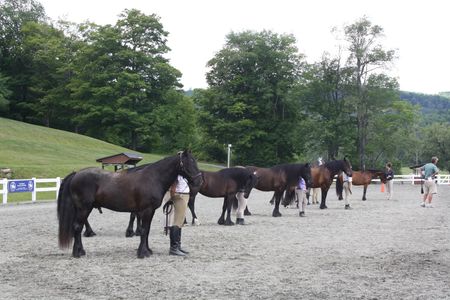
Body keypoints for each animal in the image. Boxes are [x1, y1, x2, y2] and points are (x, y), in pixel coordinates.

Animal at [57, 150, 201, 258]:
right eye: (189, 162)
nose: (198, 181)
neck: (153, 178)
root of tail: (76, 174)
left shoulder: (150, 211)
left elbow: (146, 230)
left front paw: (147, 250)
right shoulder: (146, 210)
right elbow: (144, 230)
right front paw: (142, 253)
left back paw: (80, 250)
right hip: (84, 208)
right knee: (77, 227)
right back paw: (78, 253)